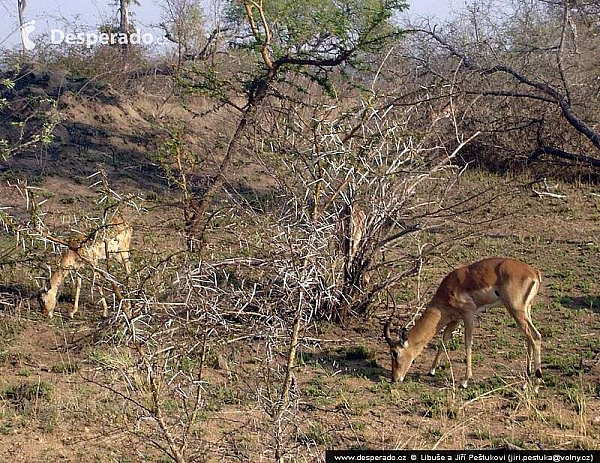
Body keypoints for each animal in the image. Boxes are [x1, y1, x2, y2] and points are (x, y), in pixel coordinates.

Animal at [384, 260, 544, 390]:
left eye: (395, 353)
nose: (394, 378)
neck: (448, 291)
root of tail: (534, 272)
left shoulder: (468, 314)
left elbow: (468, 343)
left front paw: (465, 381)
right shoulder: (455, 319)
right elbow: (444, 339)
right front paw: (431, 371)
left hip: (516, 310)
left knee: (535, 336)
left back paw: (536, 384)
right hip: (526, 310)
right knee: (529, 338)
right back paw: (525, 383)